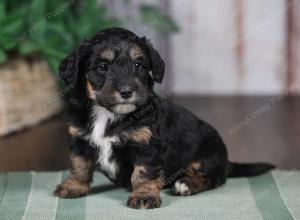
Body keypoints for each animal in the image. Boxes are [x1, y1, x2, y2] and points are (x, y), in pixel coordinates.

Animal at [54, 27, 274, 210]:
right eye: (102, 66)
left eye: (138, 65)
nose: (126, 92)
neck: (108, 114)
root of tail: (226, 160)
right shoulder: (79, 138)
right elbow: (79, 165)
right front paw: (73, 186)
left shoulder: (147, 146)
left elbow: (142, 174)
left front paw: (144, 196)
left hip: (206, 156)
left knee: (212, 178)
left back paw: (186, 184)